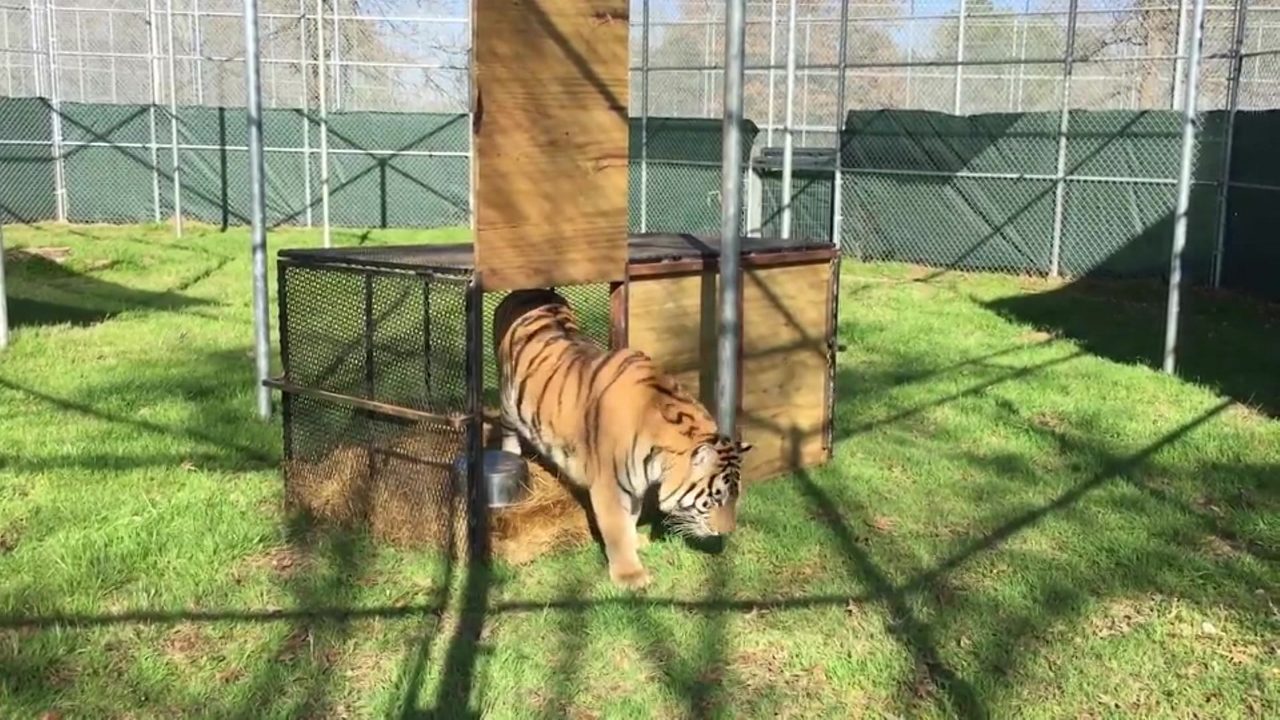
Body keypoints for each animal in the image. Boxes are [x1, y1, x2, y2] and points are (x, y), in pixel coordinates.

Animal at [492, 287, 752, 589]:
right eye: (714, 499)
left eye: (735, 496)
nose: (727, 532)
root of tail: (527, 290)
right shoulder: (608, 485)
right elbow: (616, 527)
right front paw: (630, 575)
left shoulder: (634, 483)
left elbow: (631, 518)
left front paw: (635, 541)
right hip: (507, 401)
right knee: (508, 433)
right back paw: (512, 456)